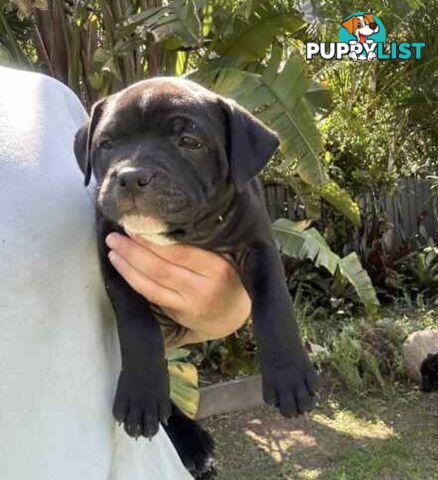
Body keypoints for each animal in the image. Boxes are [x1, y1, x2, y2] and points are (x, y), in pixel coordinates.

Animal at [73, 78, 316, 476]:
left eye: (190, 142)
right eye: (106, 144)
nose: (130, 176)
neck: (183, 232)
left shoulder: (260, 247)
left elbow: (274, 305)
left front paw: (290, 376)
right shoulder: (111, 252)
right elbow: (137, 324)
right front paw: (142, 392)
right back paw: (190, 443)